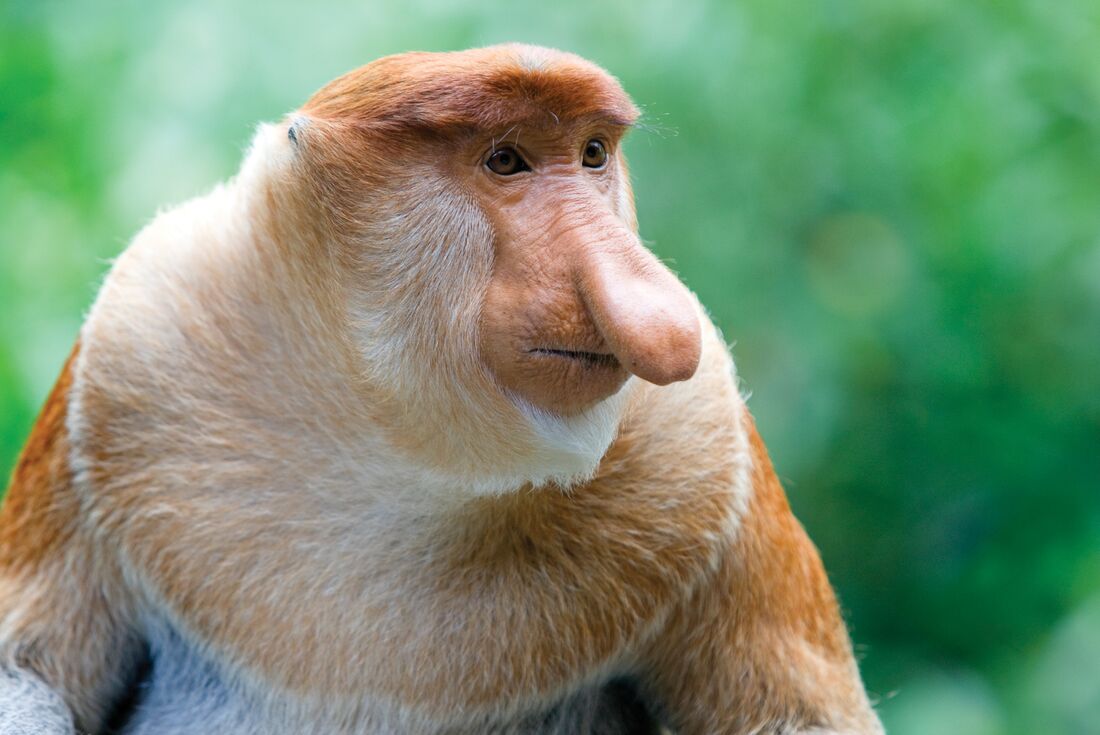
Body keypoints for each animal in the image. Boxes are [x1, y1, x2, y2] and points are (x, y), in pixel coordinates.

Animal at [0, 44, 883, 734]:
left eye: (593, 153)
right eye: (506, 159)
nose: (656, 312)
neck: (395, 446)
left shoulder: (703, 442)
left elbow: (801, 715)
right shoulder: (136, 342)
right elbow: (27, 671)